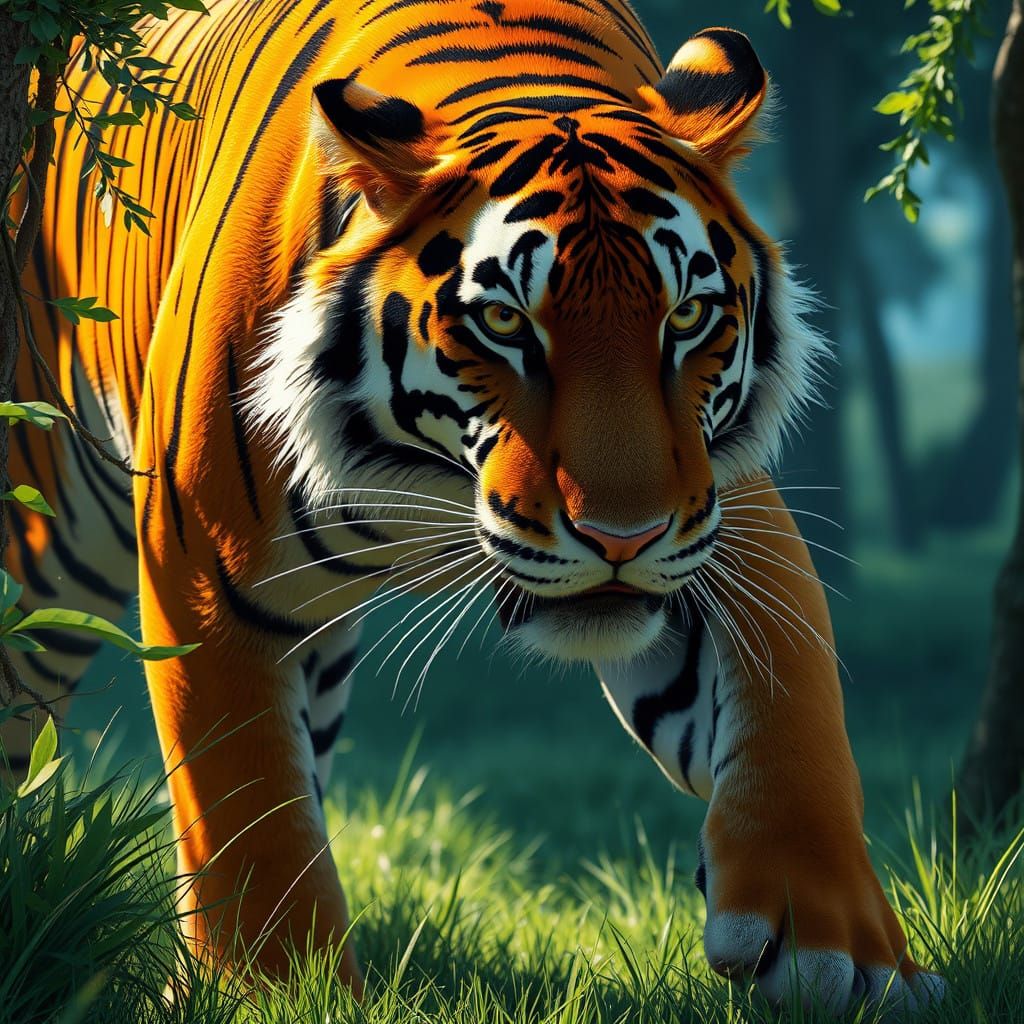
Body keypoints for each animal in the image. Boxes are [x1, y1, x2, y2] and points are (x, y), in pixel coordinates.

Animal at [2, 0, 945, 1013]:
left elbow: (793, 691)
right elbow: (243, 800)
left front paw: (842, 952)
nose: (622, 536)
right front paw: (273, 991)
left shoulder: (712, 504)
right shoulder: (208, 570)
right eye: (503, 323)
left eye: (687, 318)